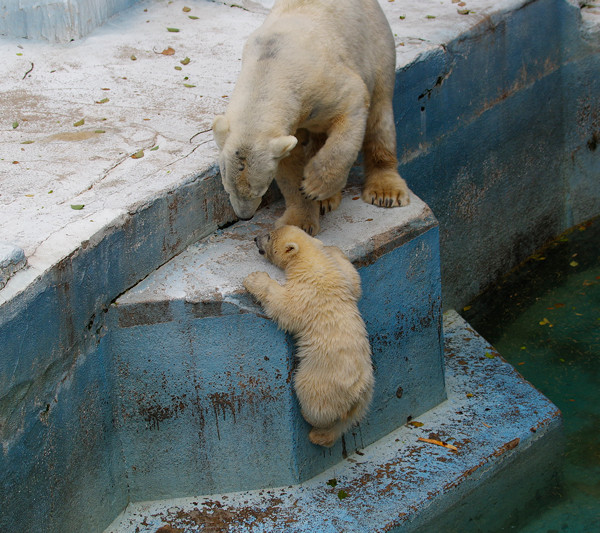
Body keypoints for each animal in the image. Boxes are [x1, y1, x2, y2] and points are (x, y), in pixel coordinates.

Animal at [211, 0, 408, 234]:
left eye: (261, 190)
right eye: (227, 188)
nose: (244, 216)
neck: (269, 68)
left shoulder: (321, 82)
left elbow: (352, 105)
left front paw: (315, 186)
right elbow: (290, 165)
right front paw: (300, 219)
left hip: (377, 44)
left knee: (379, 113)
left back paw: (385, 191)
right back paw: (328, 199)